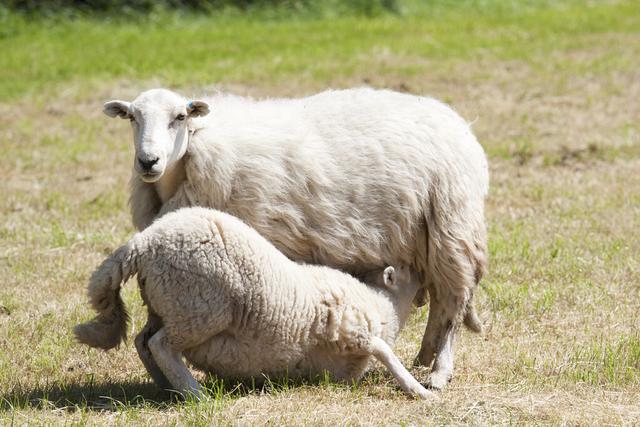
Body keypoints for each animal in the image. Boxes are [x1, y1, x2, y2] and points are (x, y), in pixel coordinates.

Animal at [74, 207, 436, 402]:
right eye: (407, 271)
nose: (423, 274)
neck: (383, 305)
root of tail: (144, 243)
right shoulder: (352, 331)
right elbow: (385, 351)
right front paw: (419, 390)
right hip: (200, 307)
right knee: (161, 345)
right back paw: (195, 394)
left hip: (167, 304)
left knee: (143, 341)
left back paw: (168, 386)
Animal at [102, 87, 488, 392]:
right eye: (132, 117)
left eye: (180, 117)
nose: (148, 161)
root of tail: (457, 123)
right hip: (424, 242)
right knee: (438, 303)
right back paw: (423, 356)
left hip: (451, 229)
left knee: (452, 305)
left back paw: (439, 371)